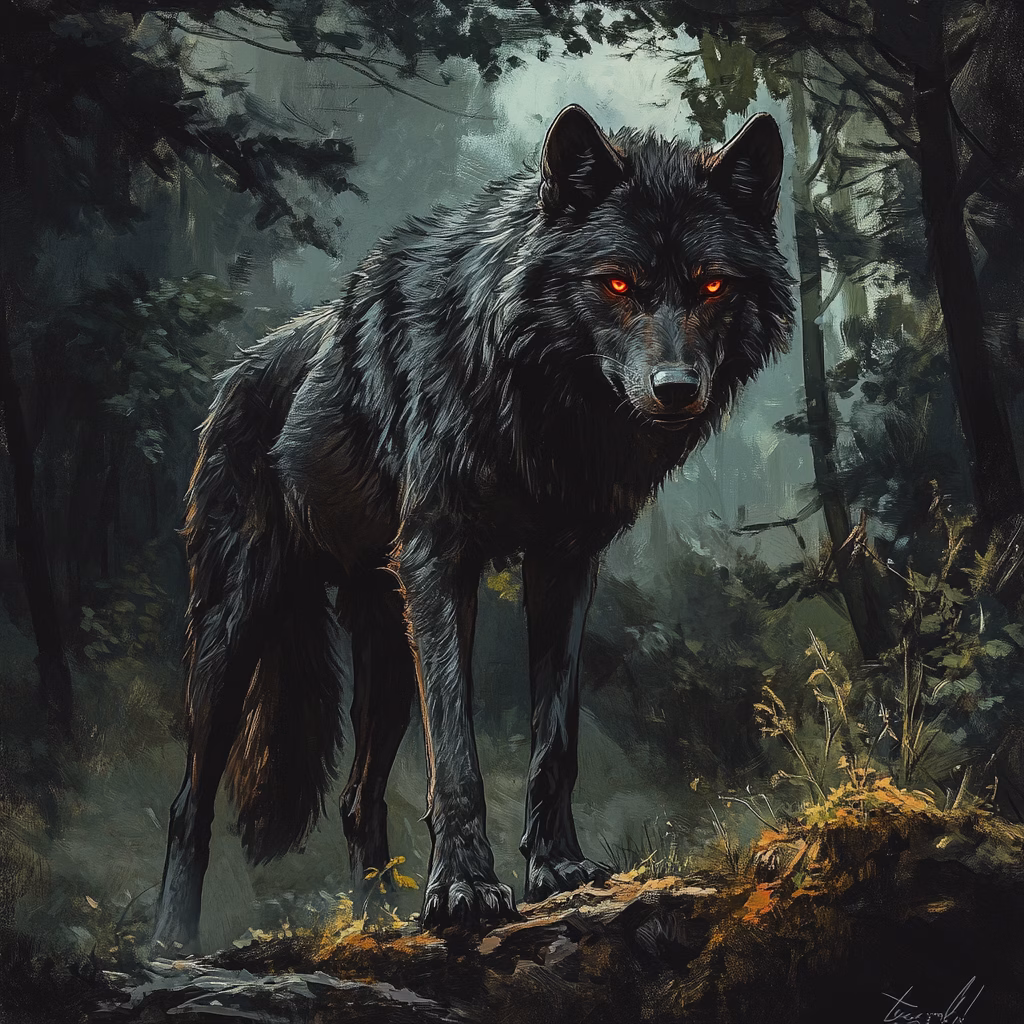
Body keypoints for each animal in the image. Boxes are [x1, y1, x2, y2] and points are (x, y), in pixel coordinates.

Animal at [152, 104, 794, 946]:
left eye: (712, 284)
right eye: (618, 283)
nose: (678, 388)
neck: (540, 405)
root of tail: (239, 371)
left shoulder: (563, 563)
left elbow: (555, 742)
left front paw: (555, 869)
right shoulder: (439, 560)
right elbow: (456, 754)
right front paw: (463, 889)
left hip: (386, 649)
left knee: (357, 803)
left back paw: (374, 925)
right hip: (235, 631)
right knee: (188, 804)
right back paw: (170, 944)